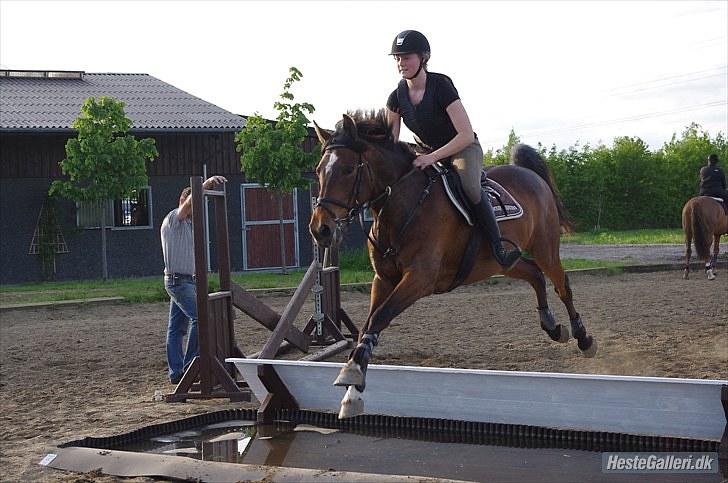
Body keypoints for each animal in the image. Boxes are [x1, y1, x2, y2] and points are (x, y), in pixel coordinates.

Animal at [308, 110, 596, 420]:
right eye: (318, 170)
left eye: (348, 170)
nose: (320, 230)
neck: (402, 205)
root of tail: (529, 175)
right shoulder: (383, 279)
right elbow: (367, 325)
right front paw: (352, 389)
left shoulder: (419, 279)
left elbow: (380, 317)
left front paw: (351, 376)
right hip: (501, 262)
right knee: (535, 275)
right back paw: (553, 327)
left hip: (544, 248)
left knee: (561, 285)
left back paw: (583, 338)